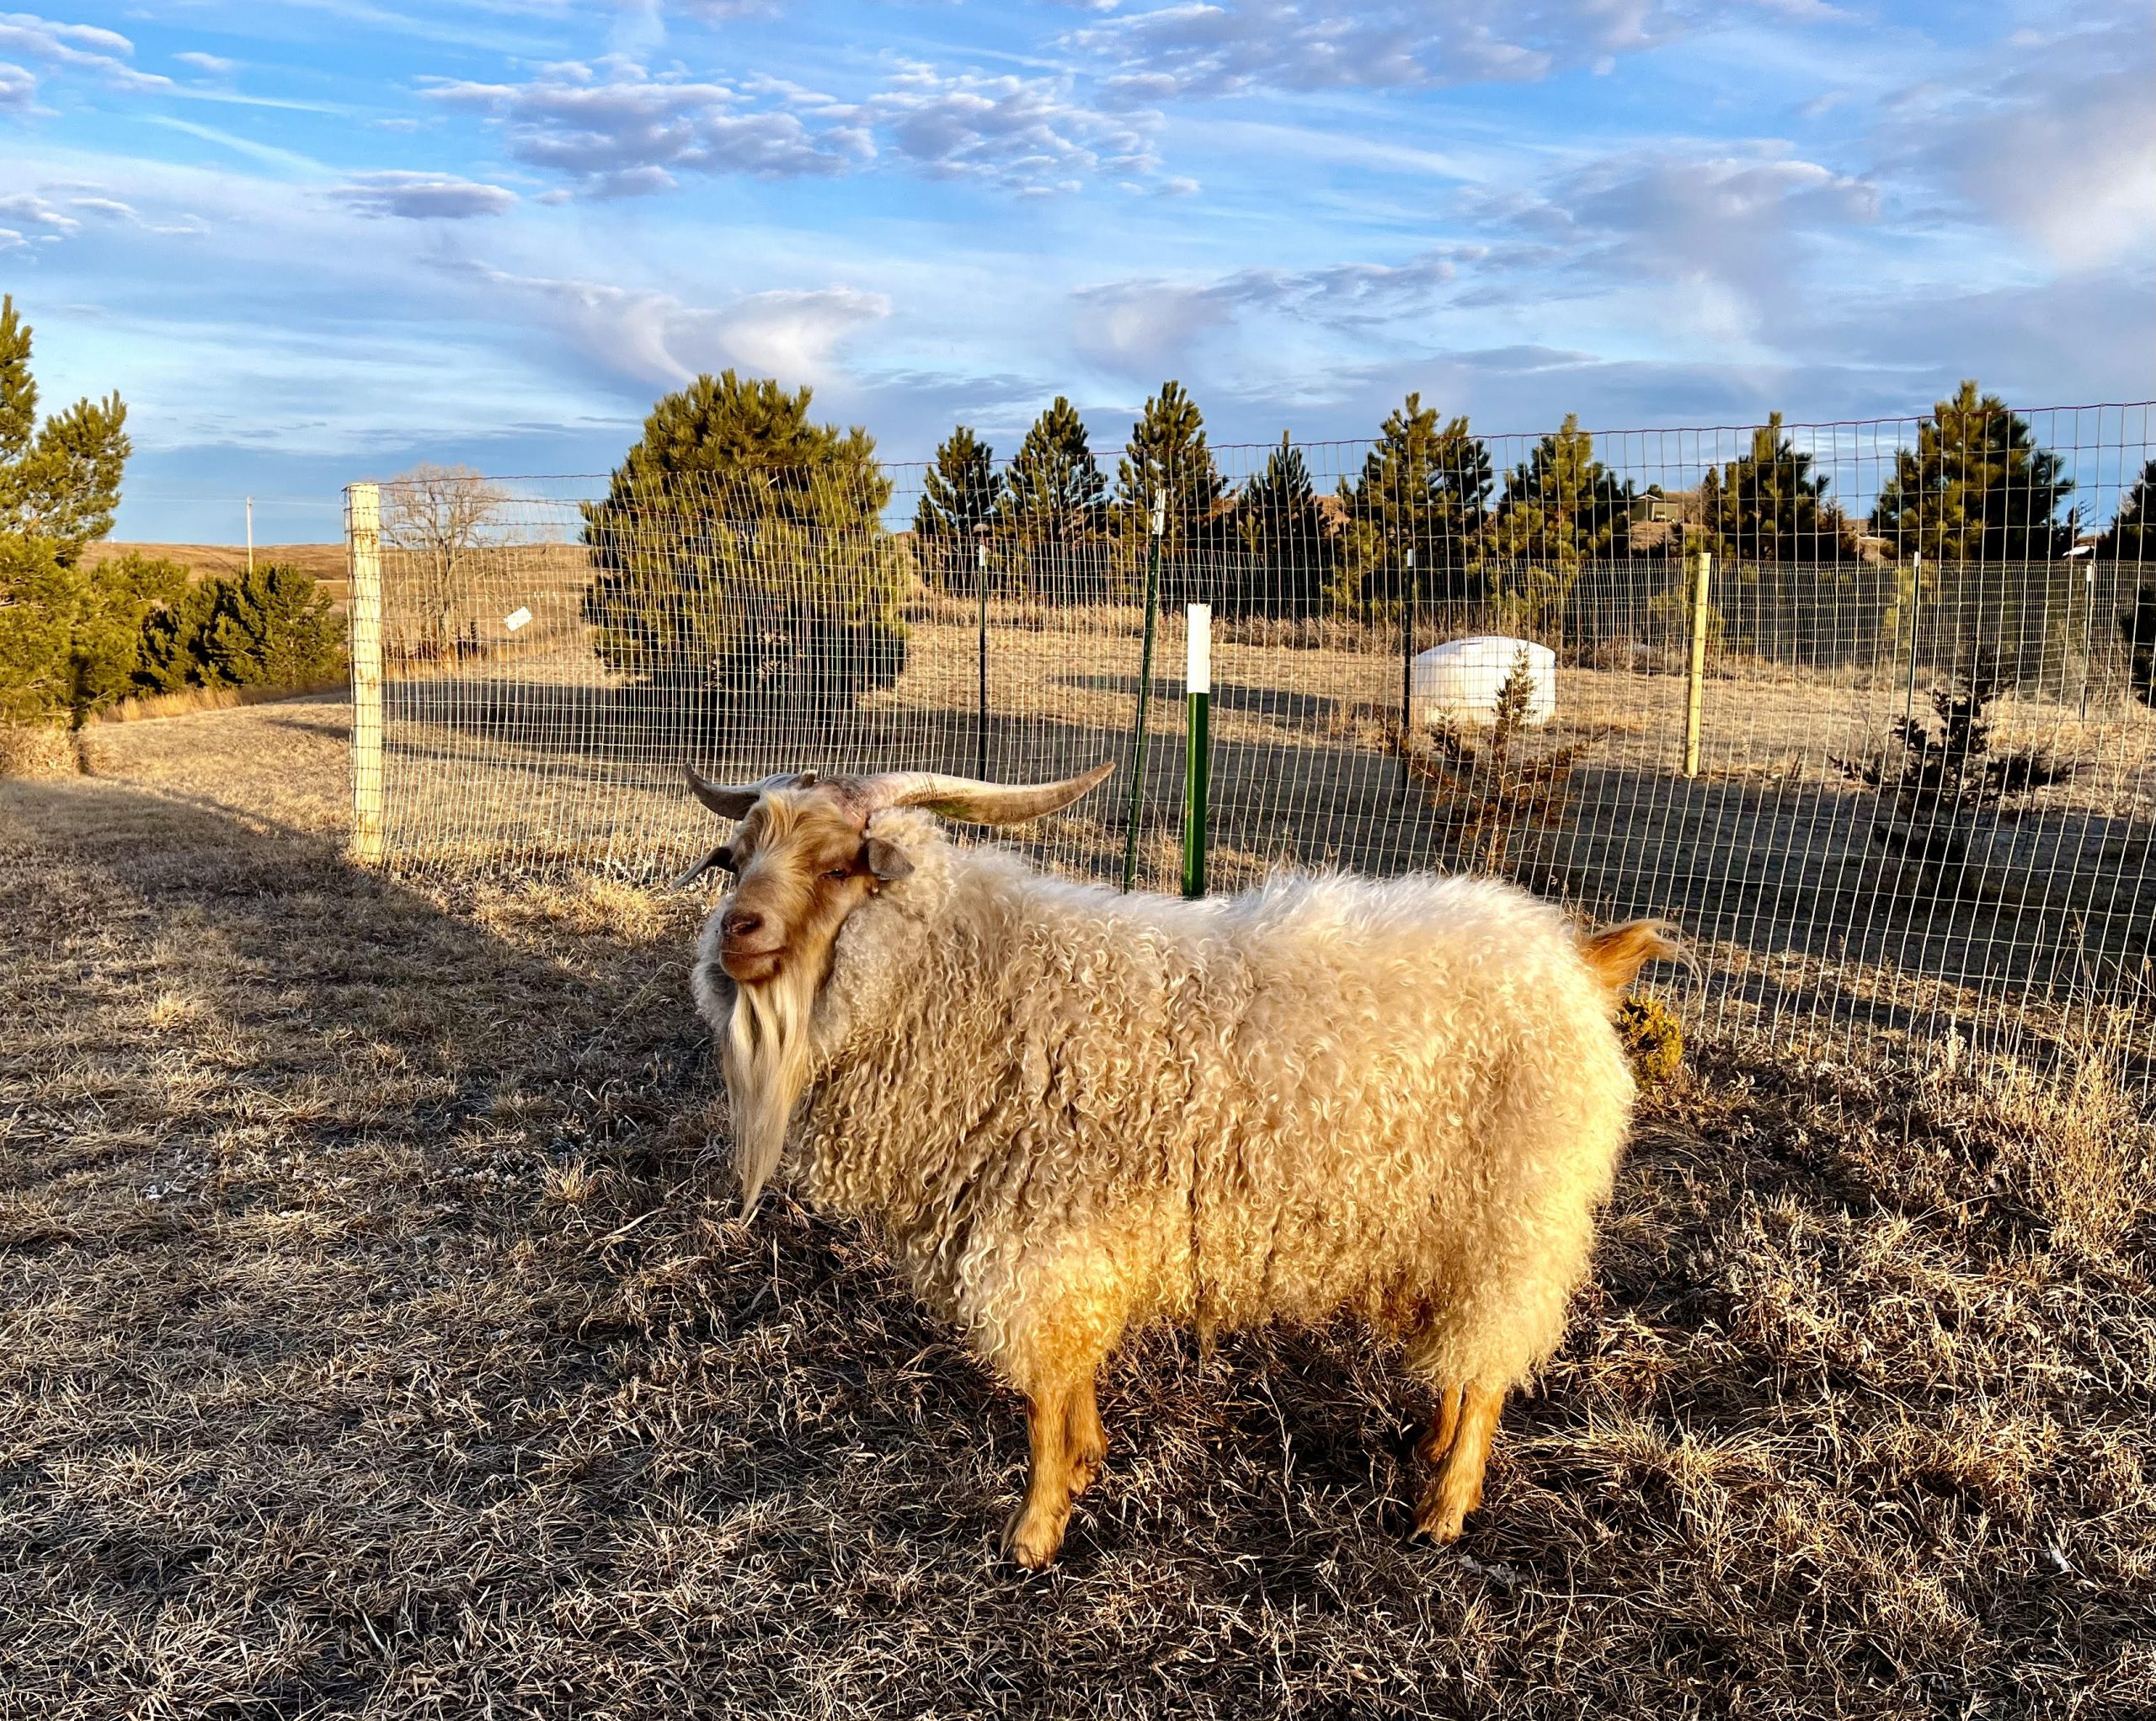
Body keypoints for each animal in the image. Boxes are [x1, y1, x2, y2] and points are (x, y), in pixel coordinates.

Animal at [680, 767, 1673, 1579]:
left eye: (840, 866)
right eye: (738, 859)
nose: (737, 931)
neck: (972, 976)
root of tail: (1575, 959)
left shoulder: (1041, 1240)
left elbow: (1042, 1395)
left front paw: (1033, 1532)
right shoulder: (1065, 1249)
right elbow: (1071, 1378)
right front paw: (1088, 1460)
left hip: (1518, 1215)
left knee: (1493, 1363)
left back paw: (1445, 1506)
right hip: (1449, 1227)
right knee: (1464, 1352)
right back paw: (1429, 1444)